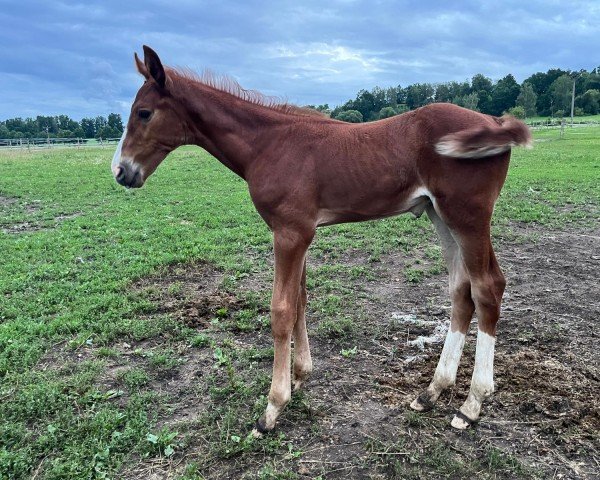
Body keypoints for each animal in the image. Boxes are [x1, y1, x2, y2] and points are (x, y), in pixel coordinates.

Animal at [112, 47, 528, 436]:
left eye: (144, 113)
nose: (121, 171)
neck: (269, 144)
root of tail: (494, 121)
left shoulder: (291, 233)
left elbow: (281, 309)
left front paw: (273, 407)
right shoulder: (298, 232)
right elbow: (300, 299)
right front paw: (299, 377)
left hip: (468, 217)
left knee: (487, 287)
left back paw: (471, 404)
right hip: (439, 216)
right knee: (461, 290)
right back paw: (432, 391)